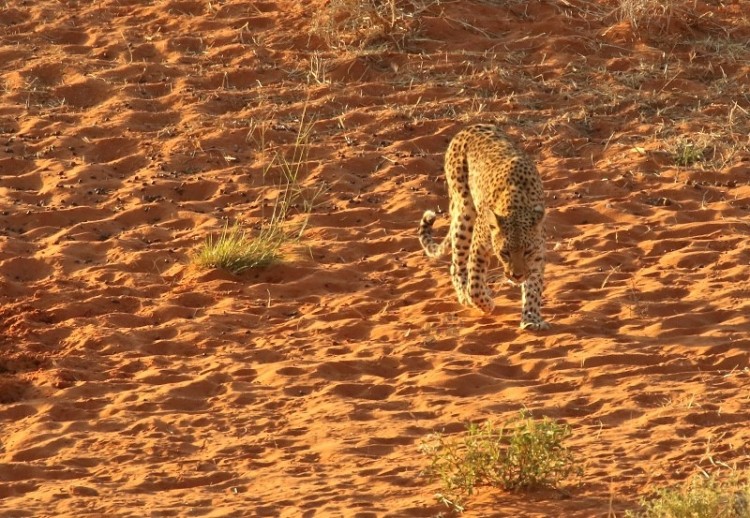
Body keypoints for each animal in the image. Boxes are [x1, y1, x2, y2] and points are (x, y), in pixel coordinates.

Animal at [420, 124, 548, 332]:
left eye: (527, 252)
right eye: (505, 253)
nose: (517, 276)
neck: (516, 204)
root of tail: (470, 127)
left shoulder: (537, 253)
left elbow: (534, 287)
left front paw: (531, 318)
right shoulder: (479, 245)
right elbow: (474, 285)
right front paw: (485, 303)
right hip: (464, 213)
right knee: (457, 265)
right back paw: (465, 296)